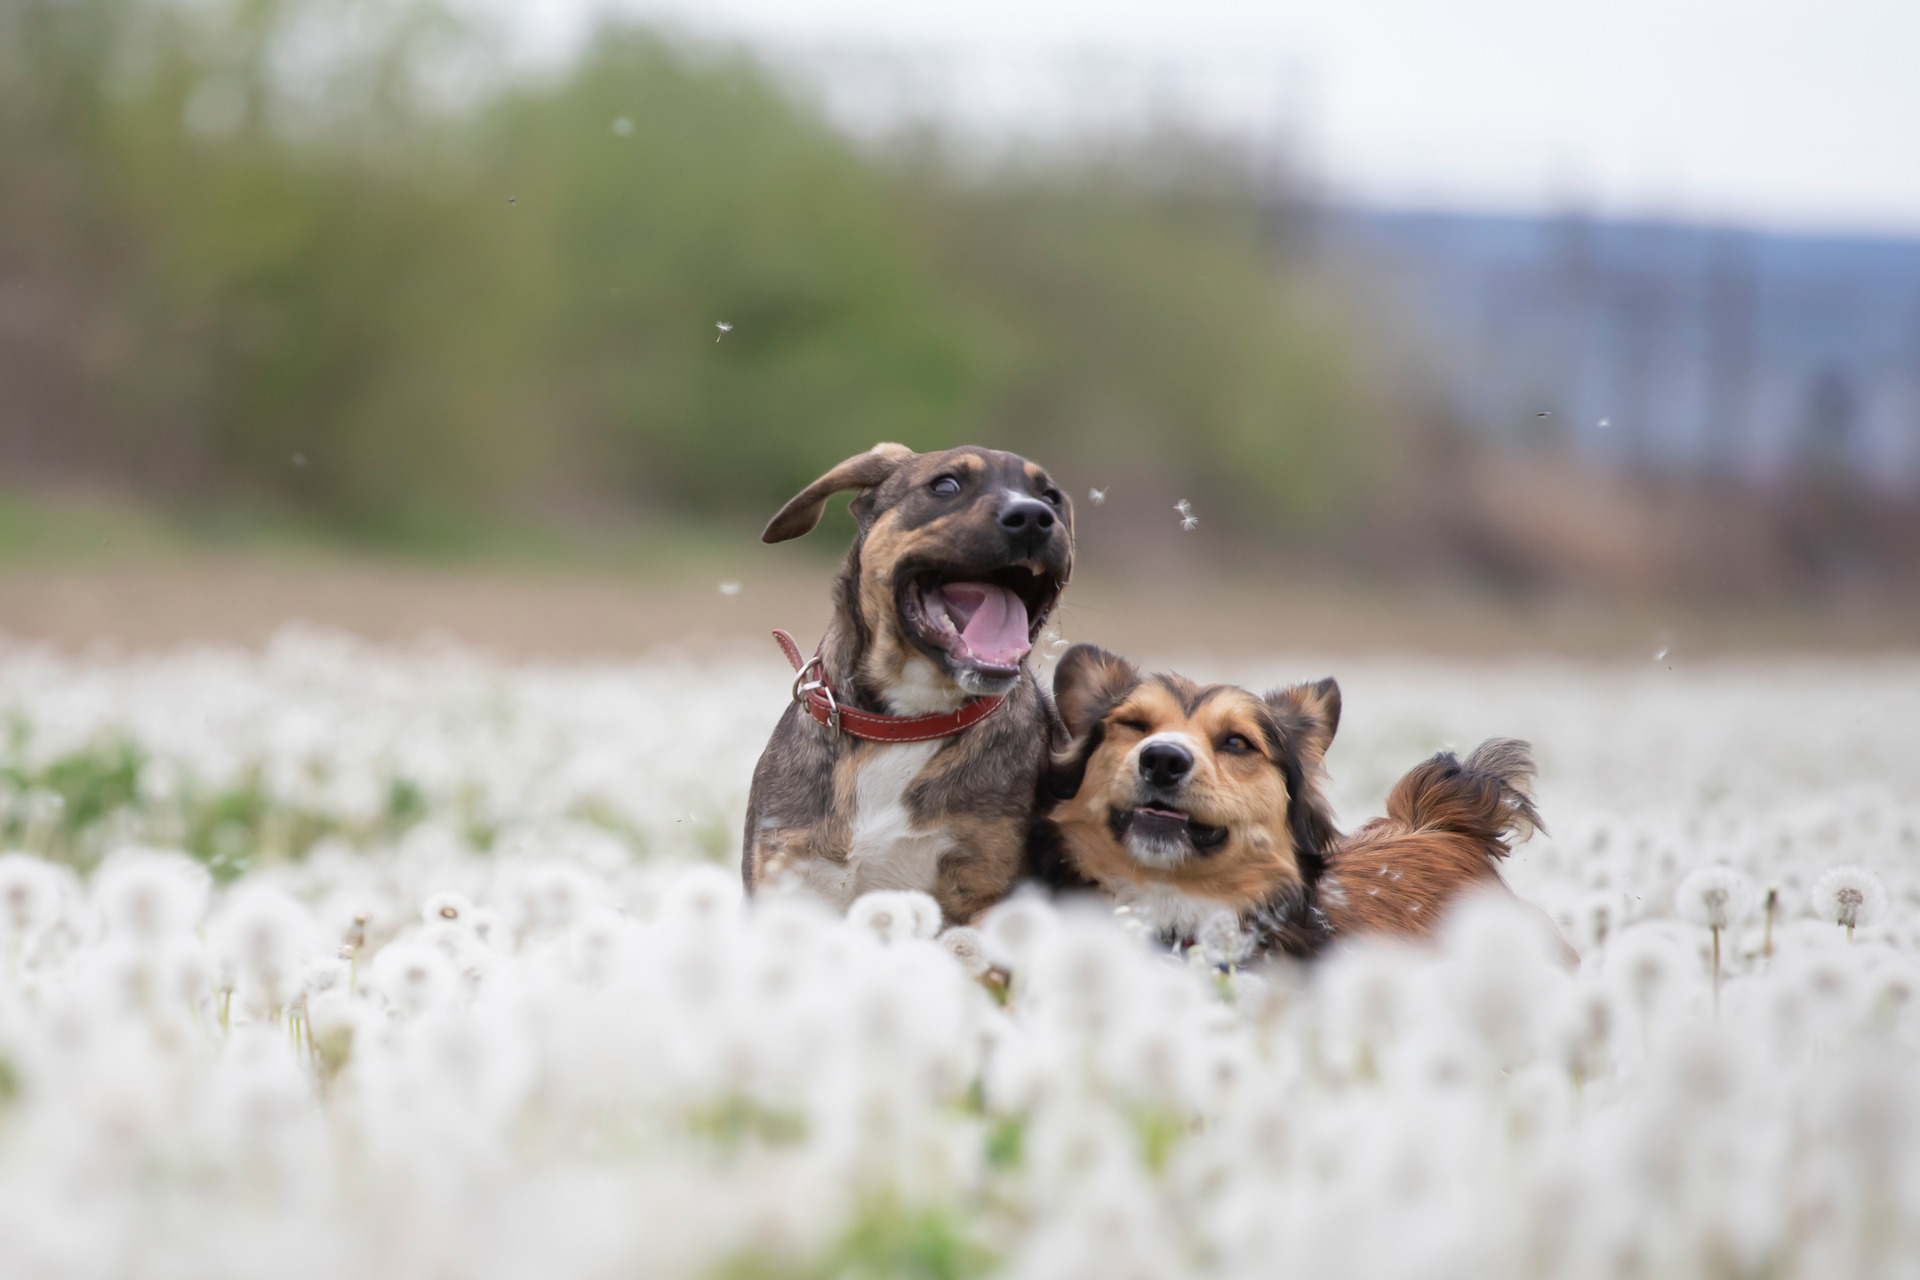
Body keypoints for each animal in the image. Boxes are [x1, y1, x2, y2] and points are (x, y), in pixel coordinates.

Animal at [744, 445, 1082, 924]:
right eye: (945, 485)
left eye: (1050, 496)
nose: (1034, 517)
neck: (905, 722)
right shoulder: (784, 872)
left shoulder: (985, 895)